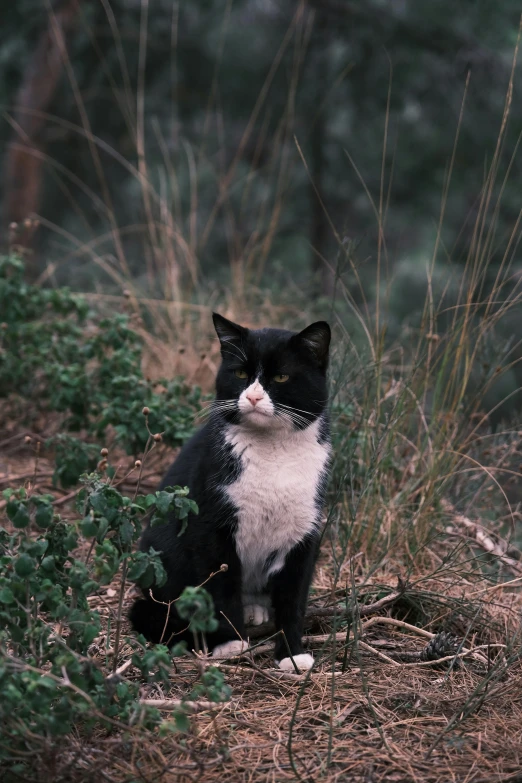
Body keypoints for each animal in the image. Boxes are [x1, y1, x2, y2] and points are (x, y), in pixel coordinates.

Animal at [128, 316, 330, 672]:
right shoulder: (211, 526)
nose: (253, 397)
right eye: (239, 374)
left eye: (281, 376)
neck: (273, 452)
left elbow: (293, 600)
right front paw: (230, 643)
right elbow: (220, 588)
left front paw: (292, 655)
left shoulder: (304, 532)